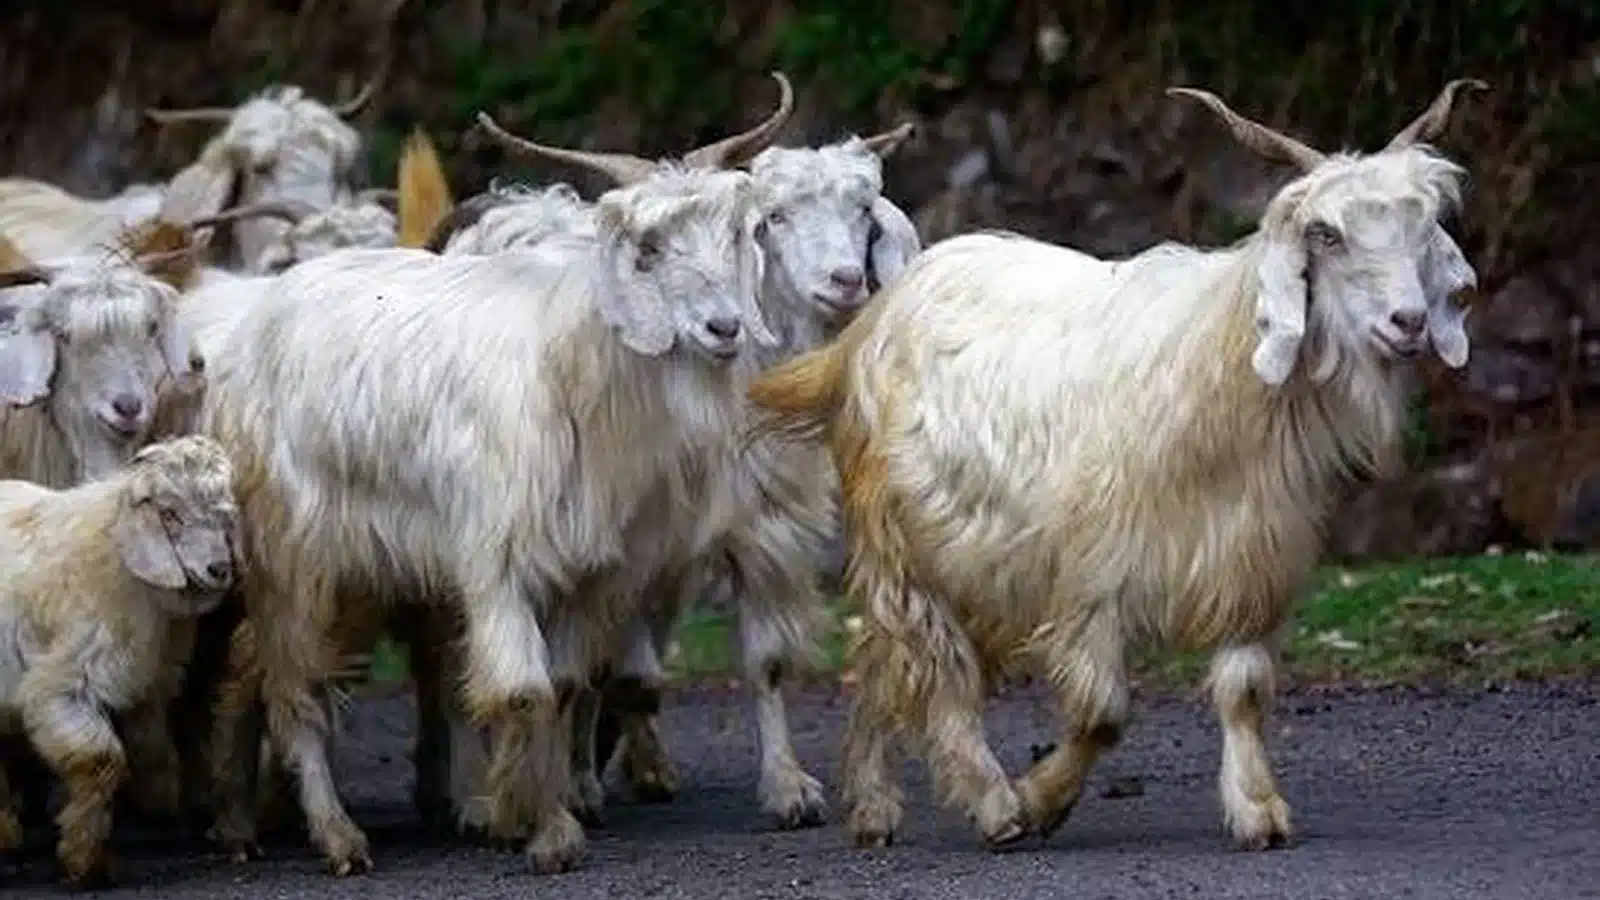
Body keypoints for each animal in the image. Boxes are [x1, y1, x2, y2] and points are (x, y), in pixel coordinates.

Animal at [0, 435, 238, 887]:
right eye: (170, 514)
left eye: (225, 516)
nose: (219, 568)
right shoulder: (64, 683)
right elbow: (100, 760)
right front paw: (87, 862)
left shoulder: (149, 682)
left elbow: (149, 750)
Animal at [745, 79, 1486, 852]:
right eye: (1327, 235)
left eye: (1424, 228)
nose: (1408, 322)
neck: (1221, 364)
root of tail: (862, 332)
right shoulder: (1092, 574)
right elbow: (1104, 712)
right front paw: (1040, 800)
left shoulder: (1251, 562)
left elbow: (1244, 691)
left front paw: (1257, 809)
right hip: (902, 542)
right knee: (931, 664)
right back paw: (990, 802)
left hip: (978, 561)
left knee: (887, 660)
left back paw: (872, 804)